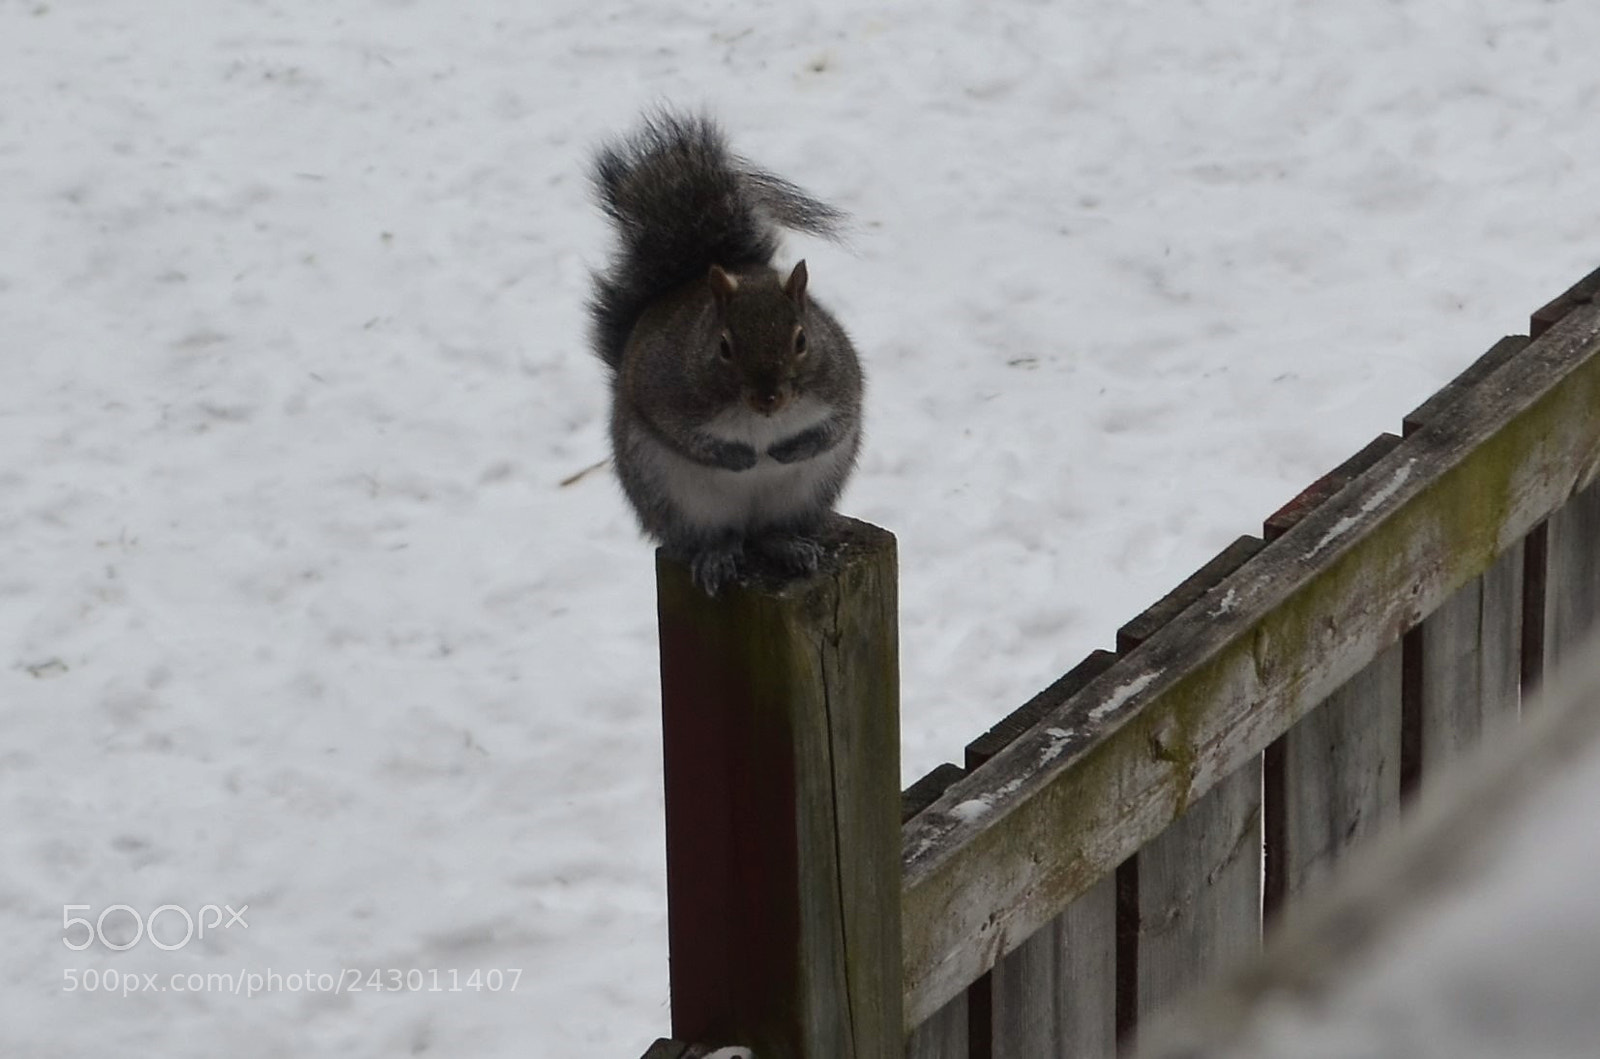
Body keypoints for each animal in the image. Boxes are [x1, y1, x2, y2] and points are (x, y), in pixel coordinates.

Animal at [588, 111, 864, 595]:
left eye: (801, 340)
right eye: (723, 347)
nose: (768, 399)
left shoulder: (843, 379)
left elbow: (836, 425)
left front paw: (790, 449)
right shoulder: (662, 392)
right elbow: (683, 436)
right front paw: (737, 457)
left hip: (807, 494)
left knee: (770, 531)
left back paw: (788, 546)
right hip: (675, 500)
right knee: (721, 536)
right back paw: (717, 555)